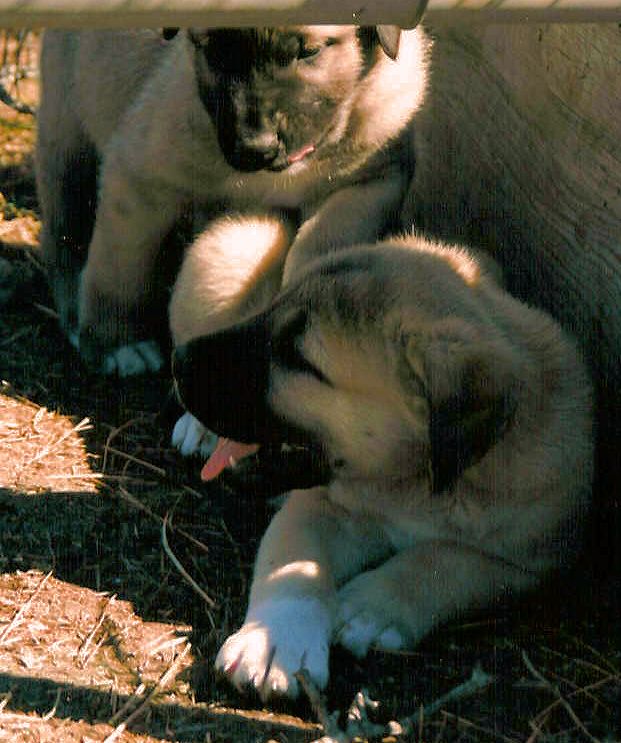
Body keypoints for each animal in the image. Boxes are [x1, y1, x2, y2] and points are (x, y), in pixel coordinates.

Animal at [37, 26, 426, 374]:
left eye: (309, 51)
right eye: (215, 49)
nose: (255, 148)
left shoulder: (369, 184)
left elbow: (324, 241)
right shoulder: (141, 174)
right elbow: (119, 268)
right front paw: (116, 343)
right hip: (67, 128)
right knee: (65, 229)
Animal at [171, 235, 596, 700]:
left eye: (299, 358)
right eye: (275, 309)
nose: (179, 361)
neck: (412, 486)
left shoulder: (532, 560)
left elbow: (442, 561)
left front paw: (371, 608)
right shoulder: (322, 505)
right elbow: (293, 563)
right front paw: (276, 640)